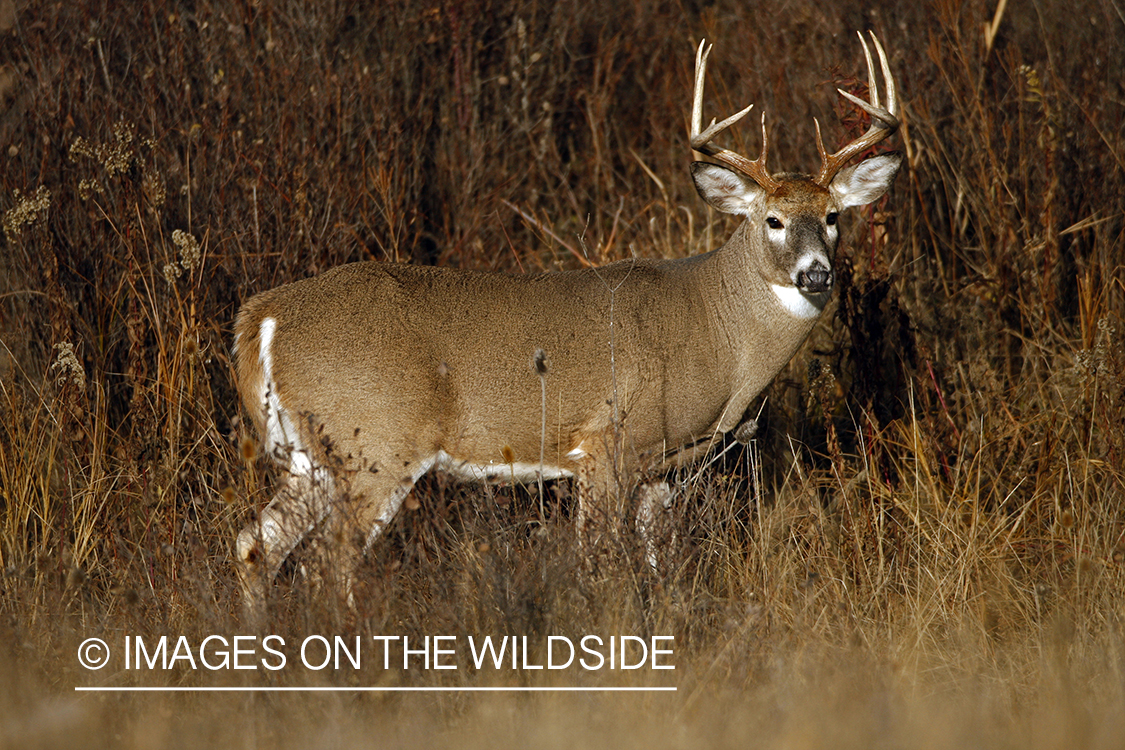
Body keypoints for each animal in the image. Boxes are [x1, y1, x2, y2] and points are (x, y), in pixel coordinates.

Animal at [232, 32, 900, 611]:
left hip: (312, 455)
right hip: (374, 443)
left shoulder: (659, 466)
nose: (816, 274)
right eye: (773, 220)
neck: (717, 332)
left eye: (834, 216)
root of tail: (260, 318)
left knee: (255, 545)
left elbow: (659, 563)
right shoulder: (607, 440)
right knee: (326, 562)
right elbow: (598, 560)